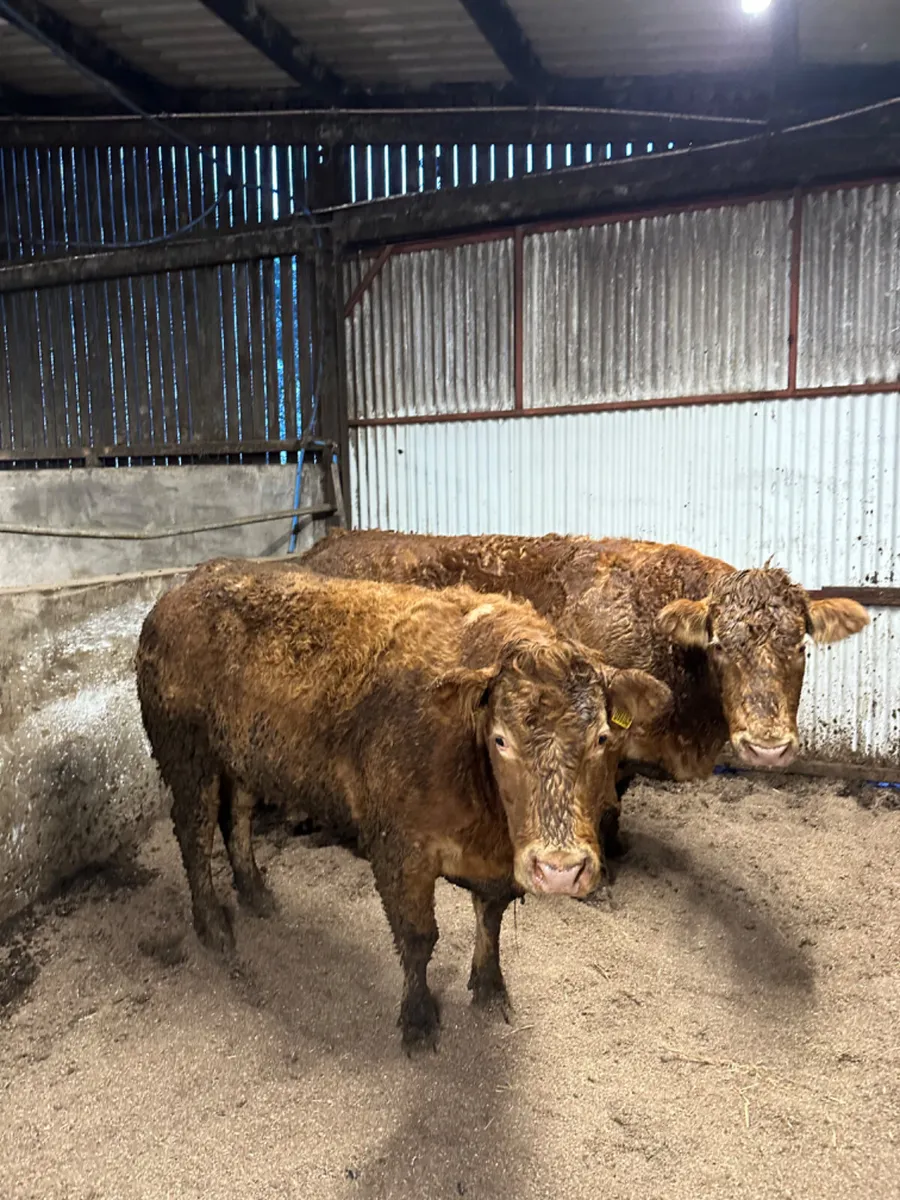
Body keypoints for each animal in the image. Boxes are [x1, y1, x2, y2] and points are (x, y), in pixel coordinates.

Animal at [136, 564, 670, 1051]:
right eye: (501, 739)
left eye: (602, 737)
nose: (559, 870)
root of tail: (183, 588)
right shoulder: (398, 850)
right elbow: (418, 938)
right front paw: (418, 1019)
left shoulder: (495, 867)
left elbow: (490, 921)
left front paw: (490, 989)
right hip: (188, 758)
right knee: (196, 832)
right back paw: (213, 925)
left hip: (245, 759)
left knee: (239, 819)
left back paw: (255, 893)